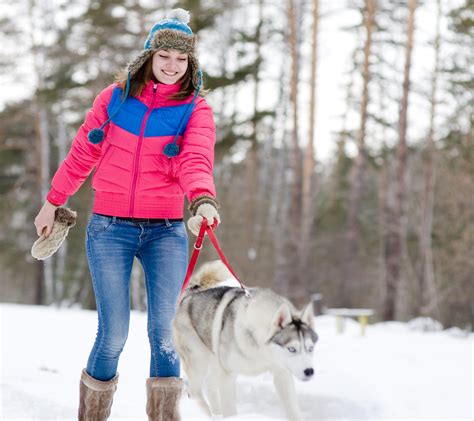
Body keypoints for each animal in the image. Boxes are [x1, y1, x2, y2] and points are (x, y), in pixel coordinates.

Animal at [172, 260, 316, 418]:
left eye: (310, 348)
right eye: (292, 349)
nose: (309, 371)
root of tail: (189, 295)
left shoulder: (281, 372)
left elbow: (292, 409)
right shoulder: (227, 375)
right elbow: (229, 409)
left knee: (210, 384)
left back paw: (216, 413)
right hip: (198, 360)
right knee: (194, 391)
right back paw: (209, 414)